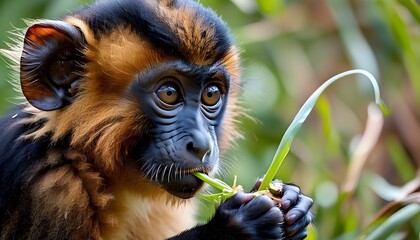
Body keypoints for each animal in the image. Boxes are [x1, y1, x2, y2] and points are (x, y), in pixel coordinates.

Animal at [0, 0, 314, 238]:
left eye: (211, 94)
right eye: (169, 93)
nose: (202, 145)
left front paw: (289, 199)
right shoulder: (52, 190)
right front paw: (236, 227)